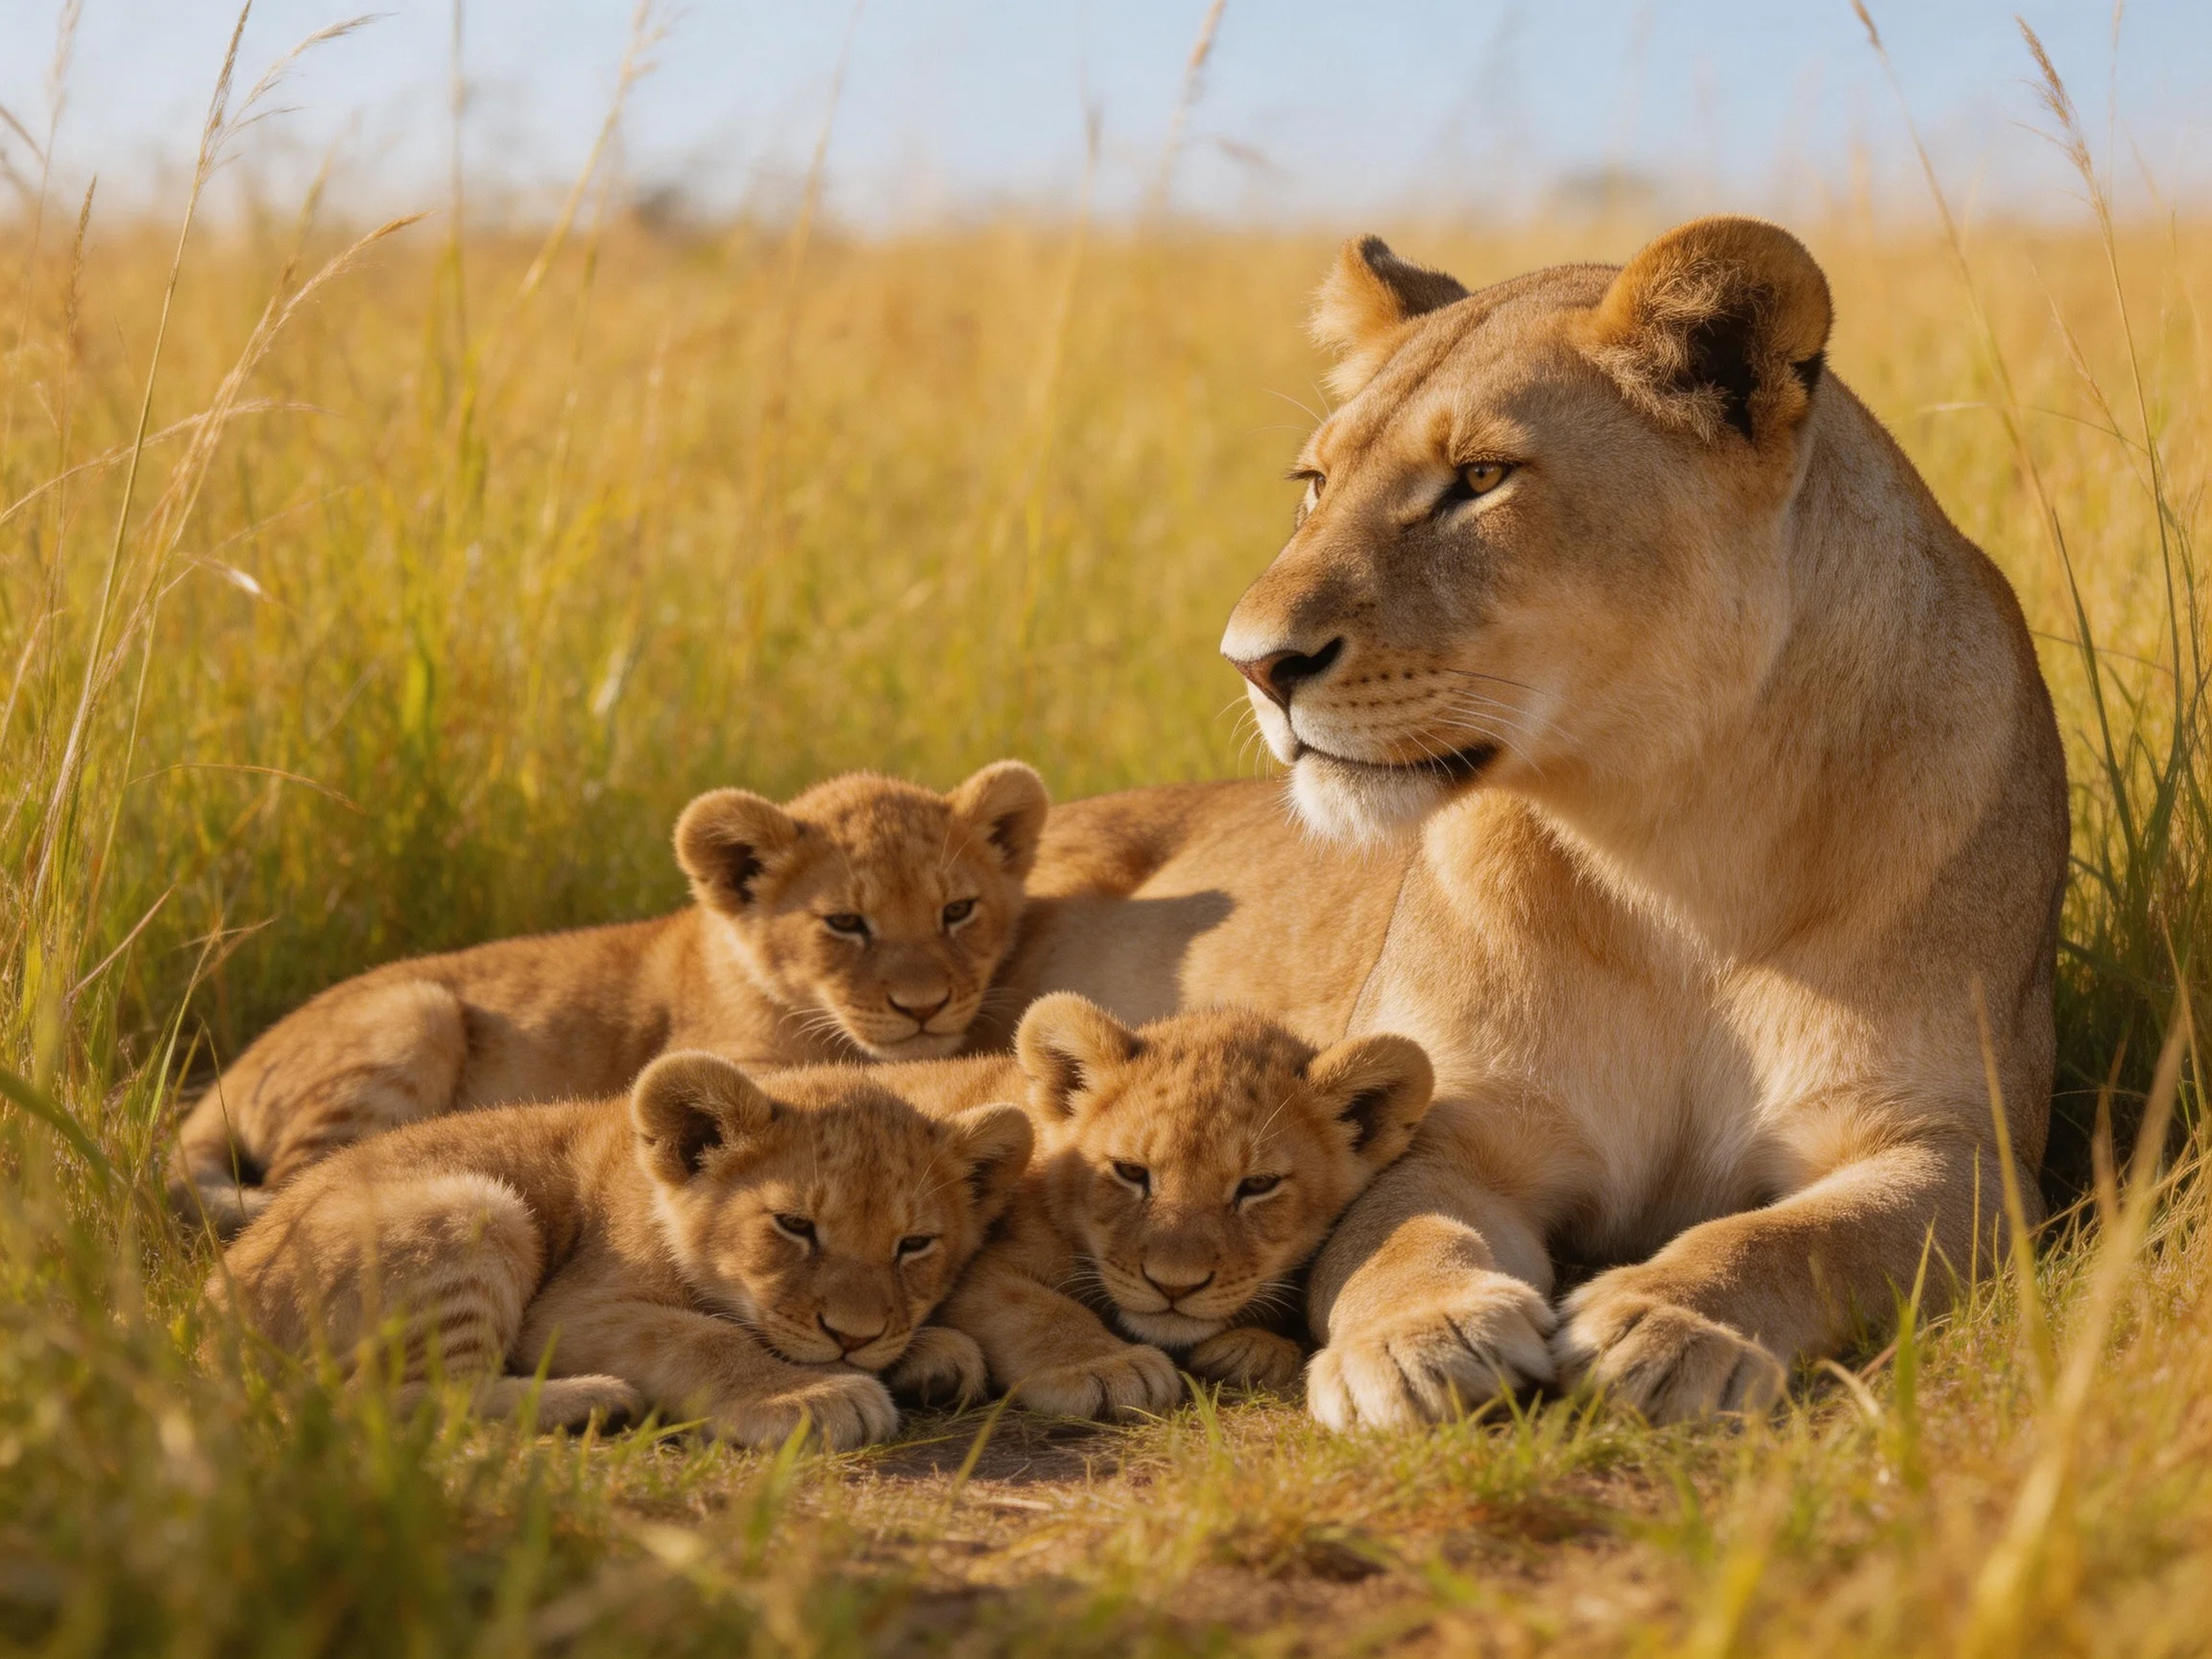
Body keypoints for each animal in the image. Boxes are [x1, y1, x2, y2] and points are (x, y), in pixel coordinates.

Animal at [208, 1050, 1033, 1449]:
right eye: (794, 1225)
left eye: (914, 1244)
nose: (852, 1339)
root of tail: (216, 1312)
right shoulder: (571, 1308)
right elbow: (702, 1337)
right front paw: (810, 1395)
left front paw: (933, 1355)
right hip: (476, 1207)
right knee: (384, 1401)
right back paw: (588, 1402)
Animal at [795, 994, 1435, 1417]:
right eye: (1131, 1173)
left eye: (1257, 1185)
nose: (1173, 1285)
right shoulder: (979, 1267)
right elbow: (1036, 1309)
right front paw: (1104, 1368)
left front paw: (1254, 1347)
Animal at [984, 217, 2067, 1426]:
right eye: (1314, 484)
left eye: (1481, 479)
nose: (1255, 665)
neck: (1673, 849)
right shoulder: (1454, 1126)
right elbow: (1402, 1236)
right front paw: (1420, 1340)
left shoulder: (1955, 1148)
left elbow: (1809, 1237)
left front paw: (1667, 1324)